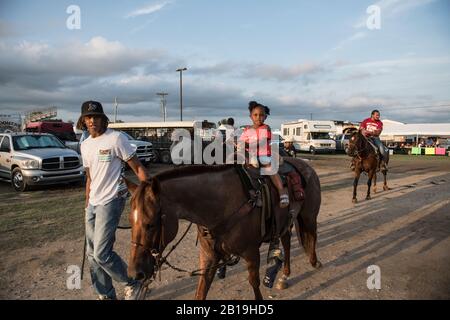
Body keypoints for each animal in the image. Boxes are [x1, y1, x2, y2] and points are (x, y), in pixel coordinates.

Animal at [125, 159, 322, 300]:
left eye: (150, 223)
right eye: (130, 222)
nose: (135, 273)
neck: (222, 205)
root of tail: (306, 166)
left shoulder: (251, 253)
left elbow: (255, 284)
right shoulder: (208, 257)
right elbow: (201, 291)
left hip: (308, 217)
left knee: (311, 235)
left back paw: (315, 262)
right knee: (287, 241)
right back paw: (284, 277)